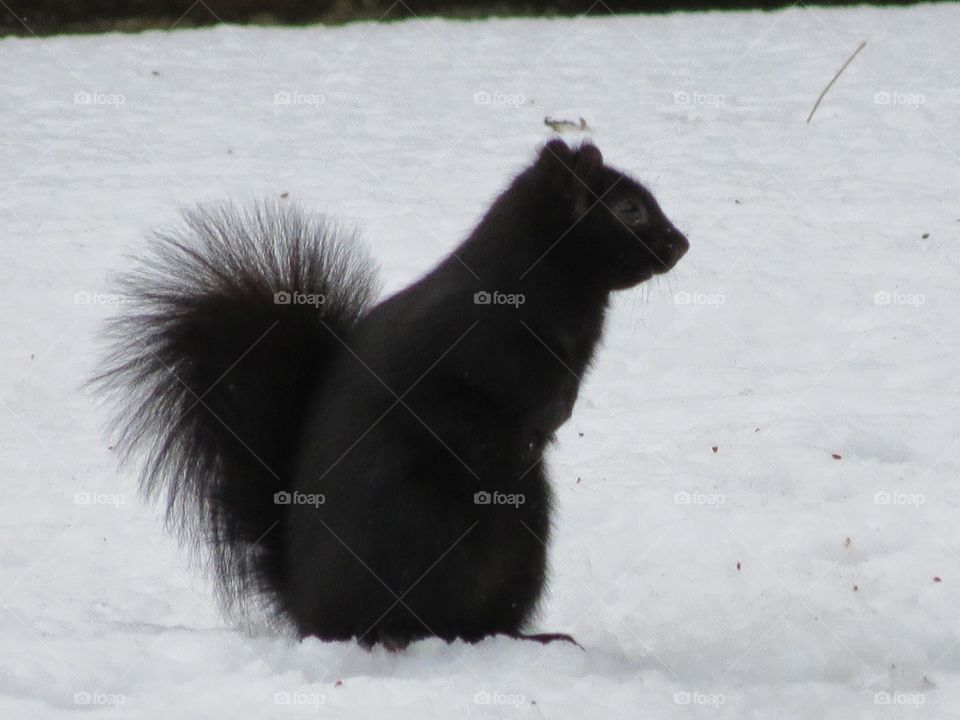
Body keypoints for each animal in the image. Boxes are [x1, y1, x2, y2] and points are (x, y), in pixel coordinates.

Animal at [95, 139, 688, 649]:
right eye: (630, 210)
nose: (680, 243)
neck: (540, 273)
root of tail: (309, 611)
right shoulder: (480, 348)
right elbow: (496, 394)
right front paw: (543, 419)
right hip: (417, 527)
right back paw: (396, 634)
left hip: (522, 539)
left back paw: (528, 638)